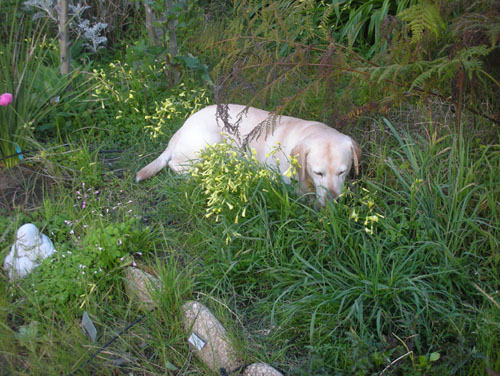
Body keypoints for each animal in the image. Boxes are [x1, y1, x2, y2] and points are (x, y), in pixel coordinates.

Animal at [137, 104, 360, 204]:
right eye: (318, 172)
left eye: (342, 172)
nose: (334, 200)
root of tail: (181, 129)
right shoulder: (285, 183)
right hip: (211, 142)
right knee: (177, 165)